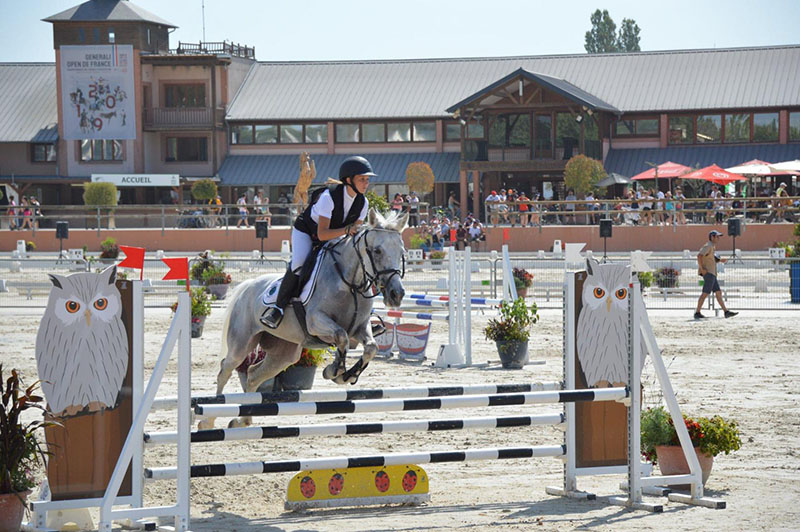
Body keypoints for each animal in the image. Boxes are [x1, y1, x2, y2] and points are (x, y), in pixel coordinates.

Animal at [202, 208, 406, 428]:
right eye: (377, 251)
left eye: (402, 252)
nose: (396, 294)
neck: (350, 284)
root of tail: (248, 286)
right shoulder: (316, 322)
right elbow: (341, 336)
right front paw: (335, 371)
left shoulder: (360, 327)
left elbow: (370, 348)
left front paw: (346, 375)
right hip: (241, 344)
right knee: (225, 371)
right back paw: (208, 421)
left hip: (284, 353)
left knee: (254, 375)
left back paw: (243, 420)